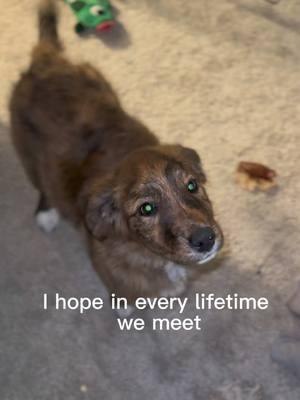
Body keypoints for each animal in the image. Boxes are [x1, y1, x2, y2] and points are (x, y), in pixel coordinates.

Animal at [9, 0, 223, 314]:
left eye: (192, 185)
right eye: (146, 209)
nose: (205, 239)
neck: (153, 255)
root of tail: (46, 61)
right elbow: (124, 294)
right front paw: (126, 307)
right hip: (27, 152)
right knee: (44, 185)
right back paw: (46, 213)